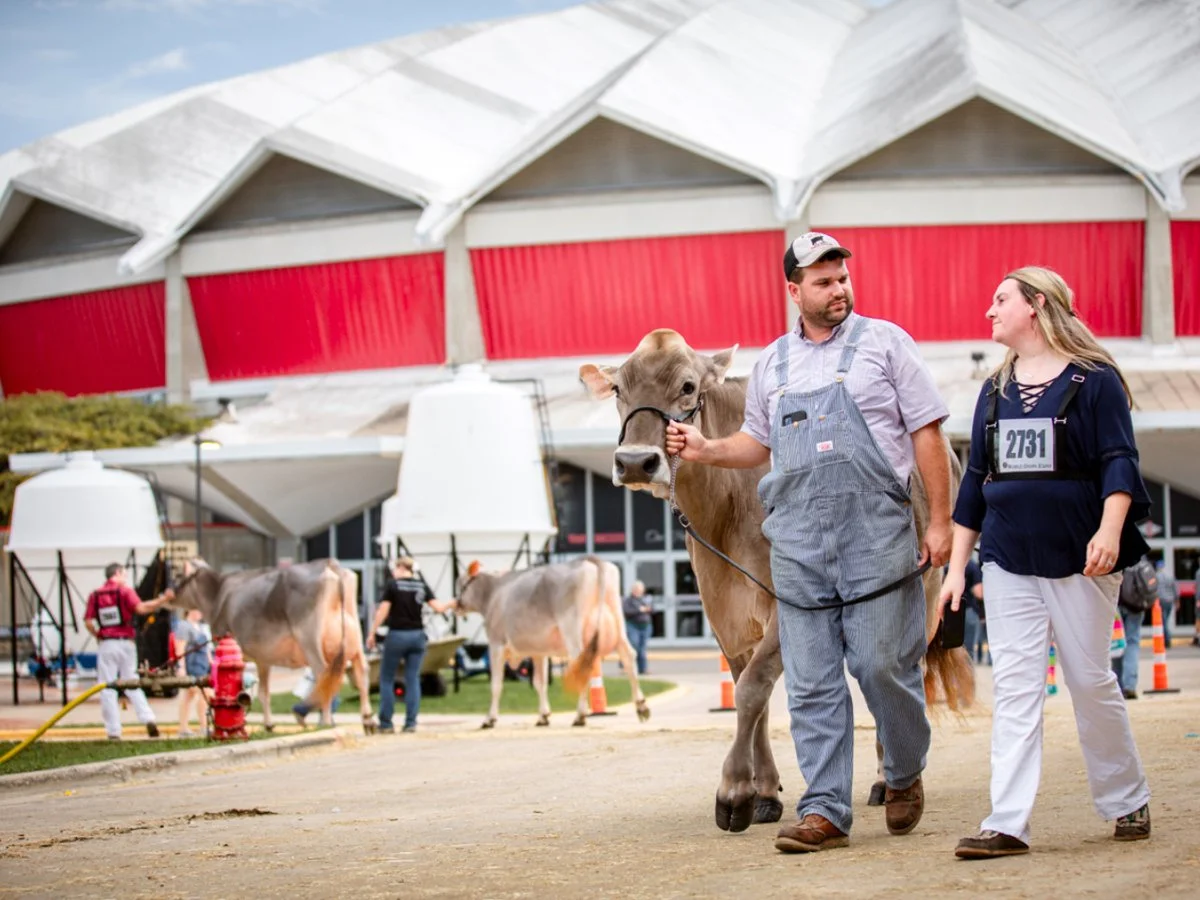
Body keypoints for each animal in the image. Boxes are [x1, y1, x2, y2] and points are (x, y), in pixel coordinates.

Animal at [172, 561, 374, 734]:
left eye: (178, 574)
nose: (167, 595)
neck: (216, 593)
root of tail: (330, 565)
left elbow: (241, 690)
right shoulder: (263, 658)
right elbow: (263, 693)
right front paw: (268, 725)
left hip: (309, 637)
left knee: (324, 673)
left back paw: (324, 720)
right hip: (354, 636)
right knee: (360, 670)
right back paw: (367, 719)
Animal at [456, 556, 648, 734]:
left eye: (461, 584)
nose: (457, 605)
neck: (493, 592)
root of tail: (586, 561)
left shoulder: (496, 644)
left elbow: (496, 684)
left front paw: (489, 719)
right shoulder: (539, 651)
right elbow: (539, 683)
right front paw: (543, 716)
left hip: (572, 629)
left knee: (583, 666)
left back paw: (580, 716)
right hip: (618, 623)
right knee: (628, 655)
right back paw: (641, 707)